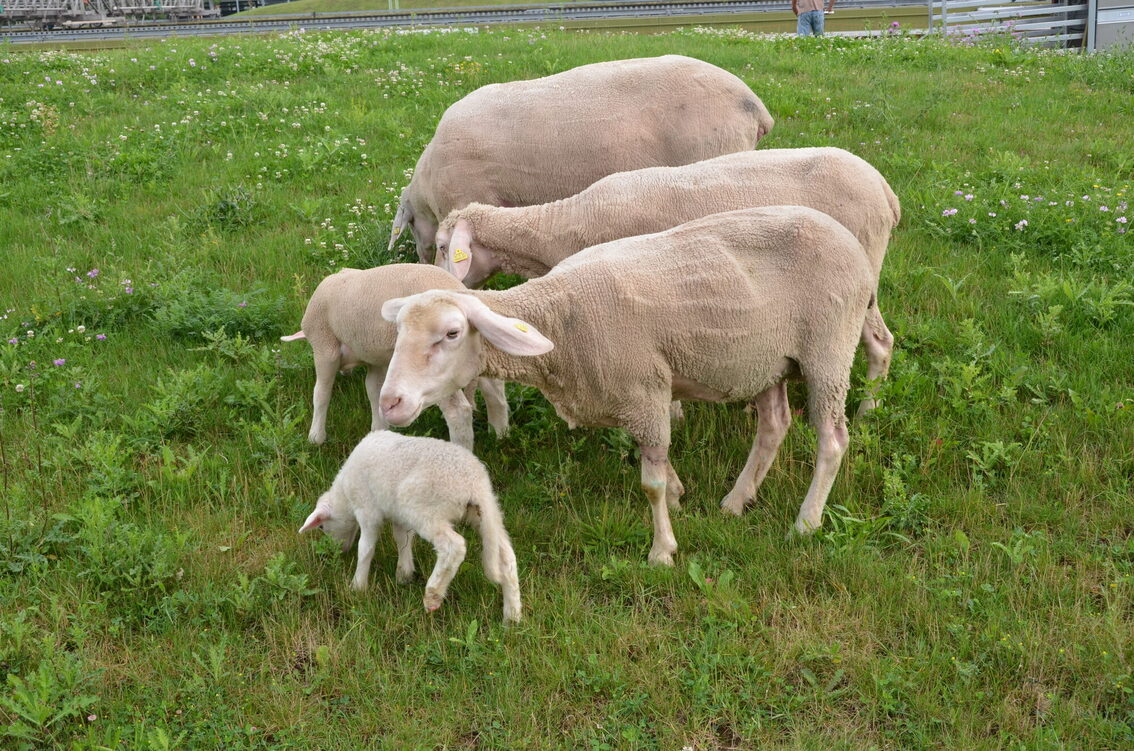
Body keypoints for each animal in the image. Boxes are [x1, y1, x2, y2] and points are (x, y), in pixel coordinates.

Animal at [280, 264, 509, 450]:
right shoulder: (376, 359)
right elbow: (374, 391)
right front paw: (378, 430)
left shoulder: (324, 347)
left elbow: (321, 393)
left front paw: (316, 436)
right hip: (472, 355)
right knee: (494, 389)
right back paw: (499, 434)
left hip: (440, 372)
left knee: (458, 412)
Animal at [299, 430, 521, 623]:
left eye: (321, 527)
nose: (340, 550)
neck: (344, 494)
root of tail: (474, 485)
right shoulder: (398, 515)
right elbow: (402, 539)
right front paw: (404, 574)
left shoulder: (367, 510)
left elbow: (366, 549)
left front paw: (358, 586)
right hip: (484, 515)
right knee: (507, 557)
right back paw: (512, 616)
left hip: (424, 510)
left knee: (453, 547)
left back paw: (433, 594)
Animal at [377, 206, 876, 566]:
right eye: (398, 333)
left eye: (451, 333)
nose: (390, 402)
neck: (561, 318)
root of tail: (852, 244)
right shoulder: (644, 396)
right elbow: (661, 465)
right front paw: (679, 496)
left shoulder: (645, 390)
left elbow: (649, 483)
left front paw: (662, 551)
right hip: (766, 359)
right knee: (774, 424)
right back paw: (737, 500)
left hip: (829, 348)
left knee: (833, 438)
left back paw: (806, 522)